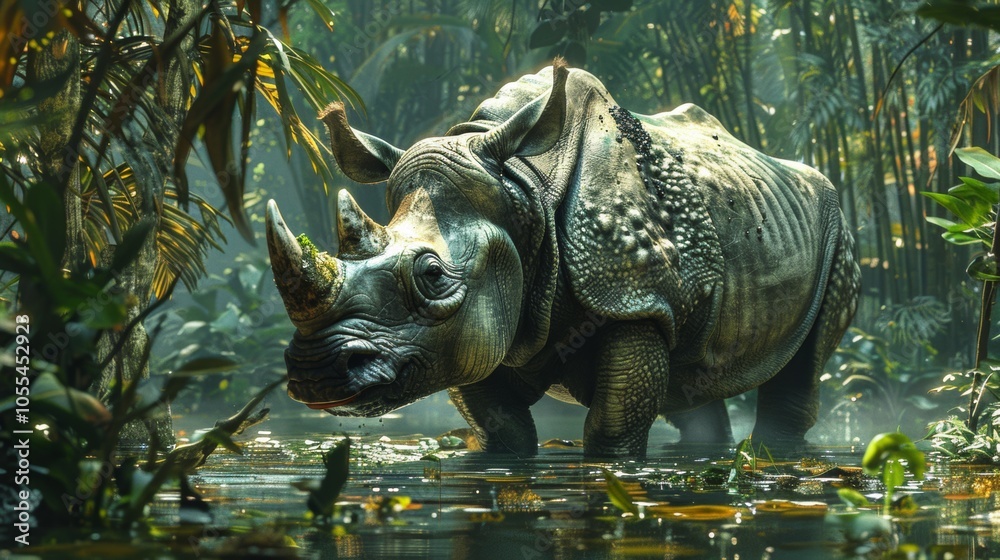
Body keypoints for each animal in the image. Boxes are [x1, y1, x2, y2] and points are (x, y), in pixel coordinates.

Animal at [265, 60, 861, 457]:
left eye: (431, 275)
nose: (318, 373)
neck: (524, 189)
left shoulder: (636, 295)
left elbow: (612, 430)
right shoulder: (471, 333)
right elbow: (503, 430)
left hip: (838, 230)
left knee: (803, 365)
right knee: (692, 383)